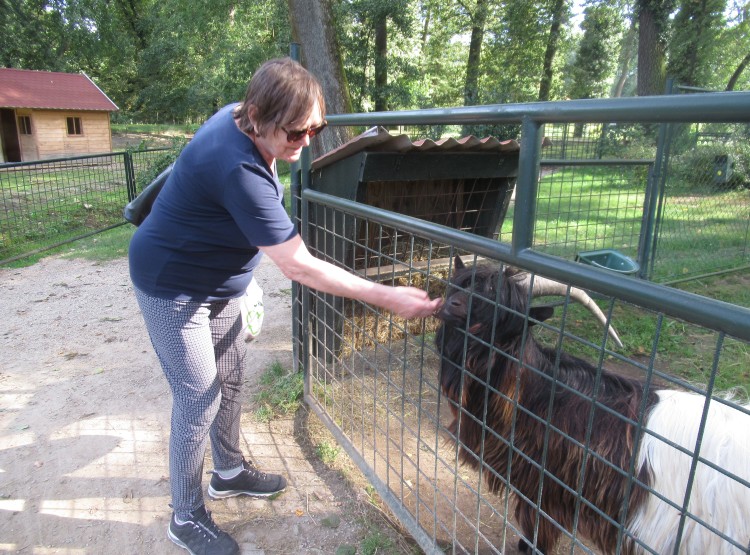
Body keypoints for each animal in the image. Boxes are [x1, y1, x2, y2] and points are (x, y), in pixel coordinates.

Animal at [434, 258, 750, 555]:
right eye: (461, 284)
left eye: (503, 313)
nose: (452, 305)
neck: (543, 394)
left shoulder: (547, 489)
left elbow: (537, 532)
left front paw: (527, 547)